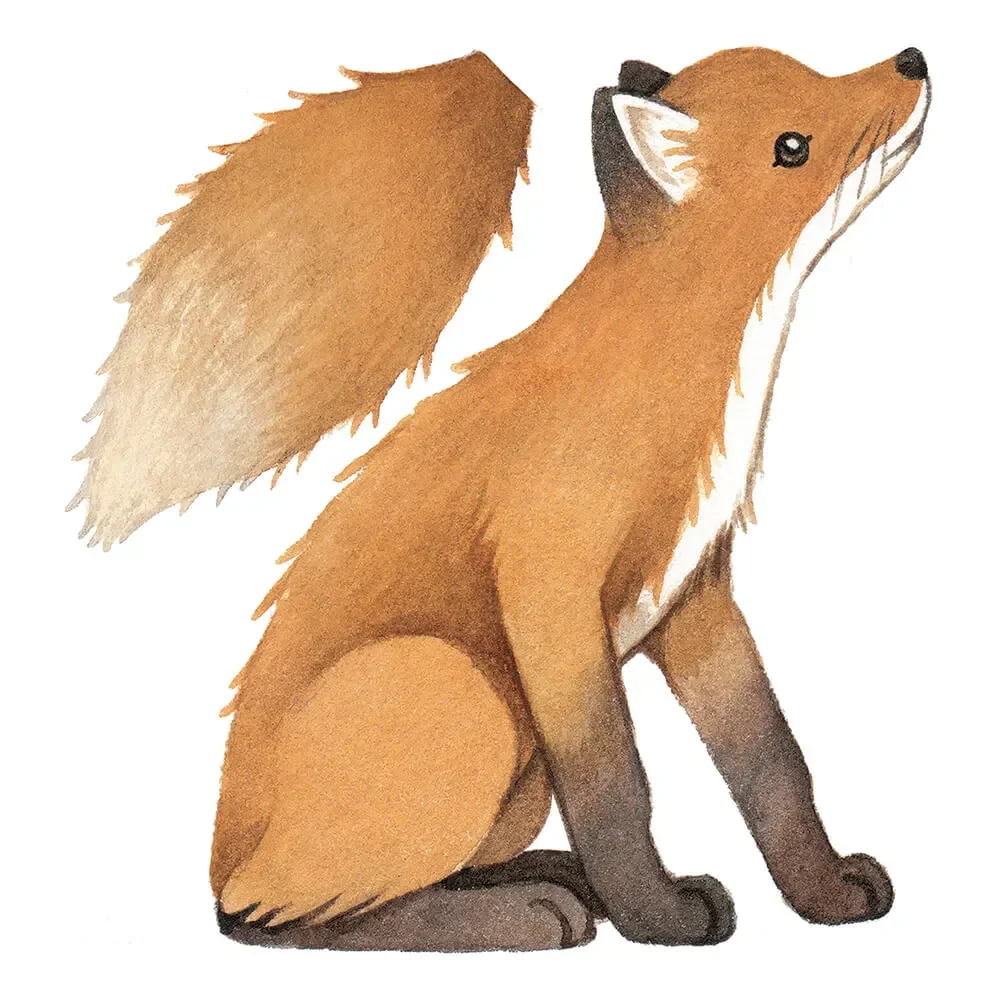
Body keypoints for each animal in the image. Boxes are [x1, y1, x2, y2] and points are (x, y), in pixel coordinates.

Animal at [73, 45, 930, 950]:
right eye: (792, 146)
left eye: (817, 74)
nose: (911, 60)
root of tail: (220, 858)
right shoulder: (549, 587)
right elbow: (615, 785)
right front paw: (658, 916)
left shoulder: (695, 594)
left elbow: (772, 764)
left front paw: (824, 892)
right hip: (461, 693)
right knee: (286, 921)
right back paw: (527, 913)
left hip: (513, 777)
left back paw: (552, 880)